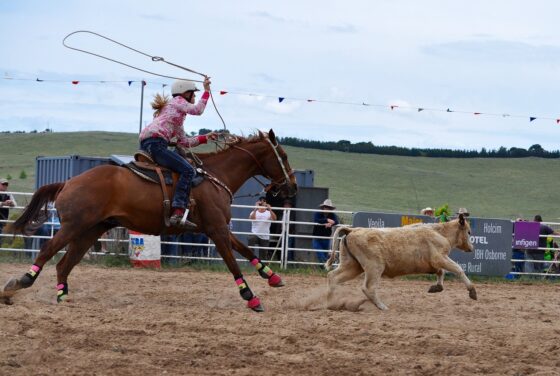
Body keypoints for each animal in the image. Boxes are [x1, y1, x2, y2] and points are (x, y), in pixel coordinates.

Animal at [2, 129, 298, 312]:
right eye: (282, 156)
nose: (293, 187)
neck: (215, 175)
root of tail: (68, 181)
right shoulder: (216, 230)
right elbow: (232, 262)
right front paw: (251, 297)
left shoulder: (217, 228)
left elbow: (245, 249)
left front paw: (272, 277)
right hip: (74, 227)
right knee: (47, 251)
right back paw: (17, 286)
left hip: (91, 230)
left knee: (64, 263)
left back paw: (63, 296)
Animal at [324, 214, 476, 312]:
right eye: (469, 232)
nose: (472, 248)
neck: (440, 232)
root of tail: (352, 230)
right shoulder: (439, 258)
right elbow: (457, 269)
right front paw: (472, 291)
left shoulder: (434, 263)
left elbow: (441, 272)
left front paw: (436, 287)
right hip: (374, 267)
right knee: (368, 288)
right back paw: (382, 306)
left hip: (352, 266)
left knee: (333, 277)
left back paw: (332, 302)